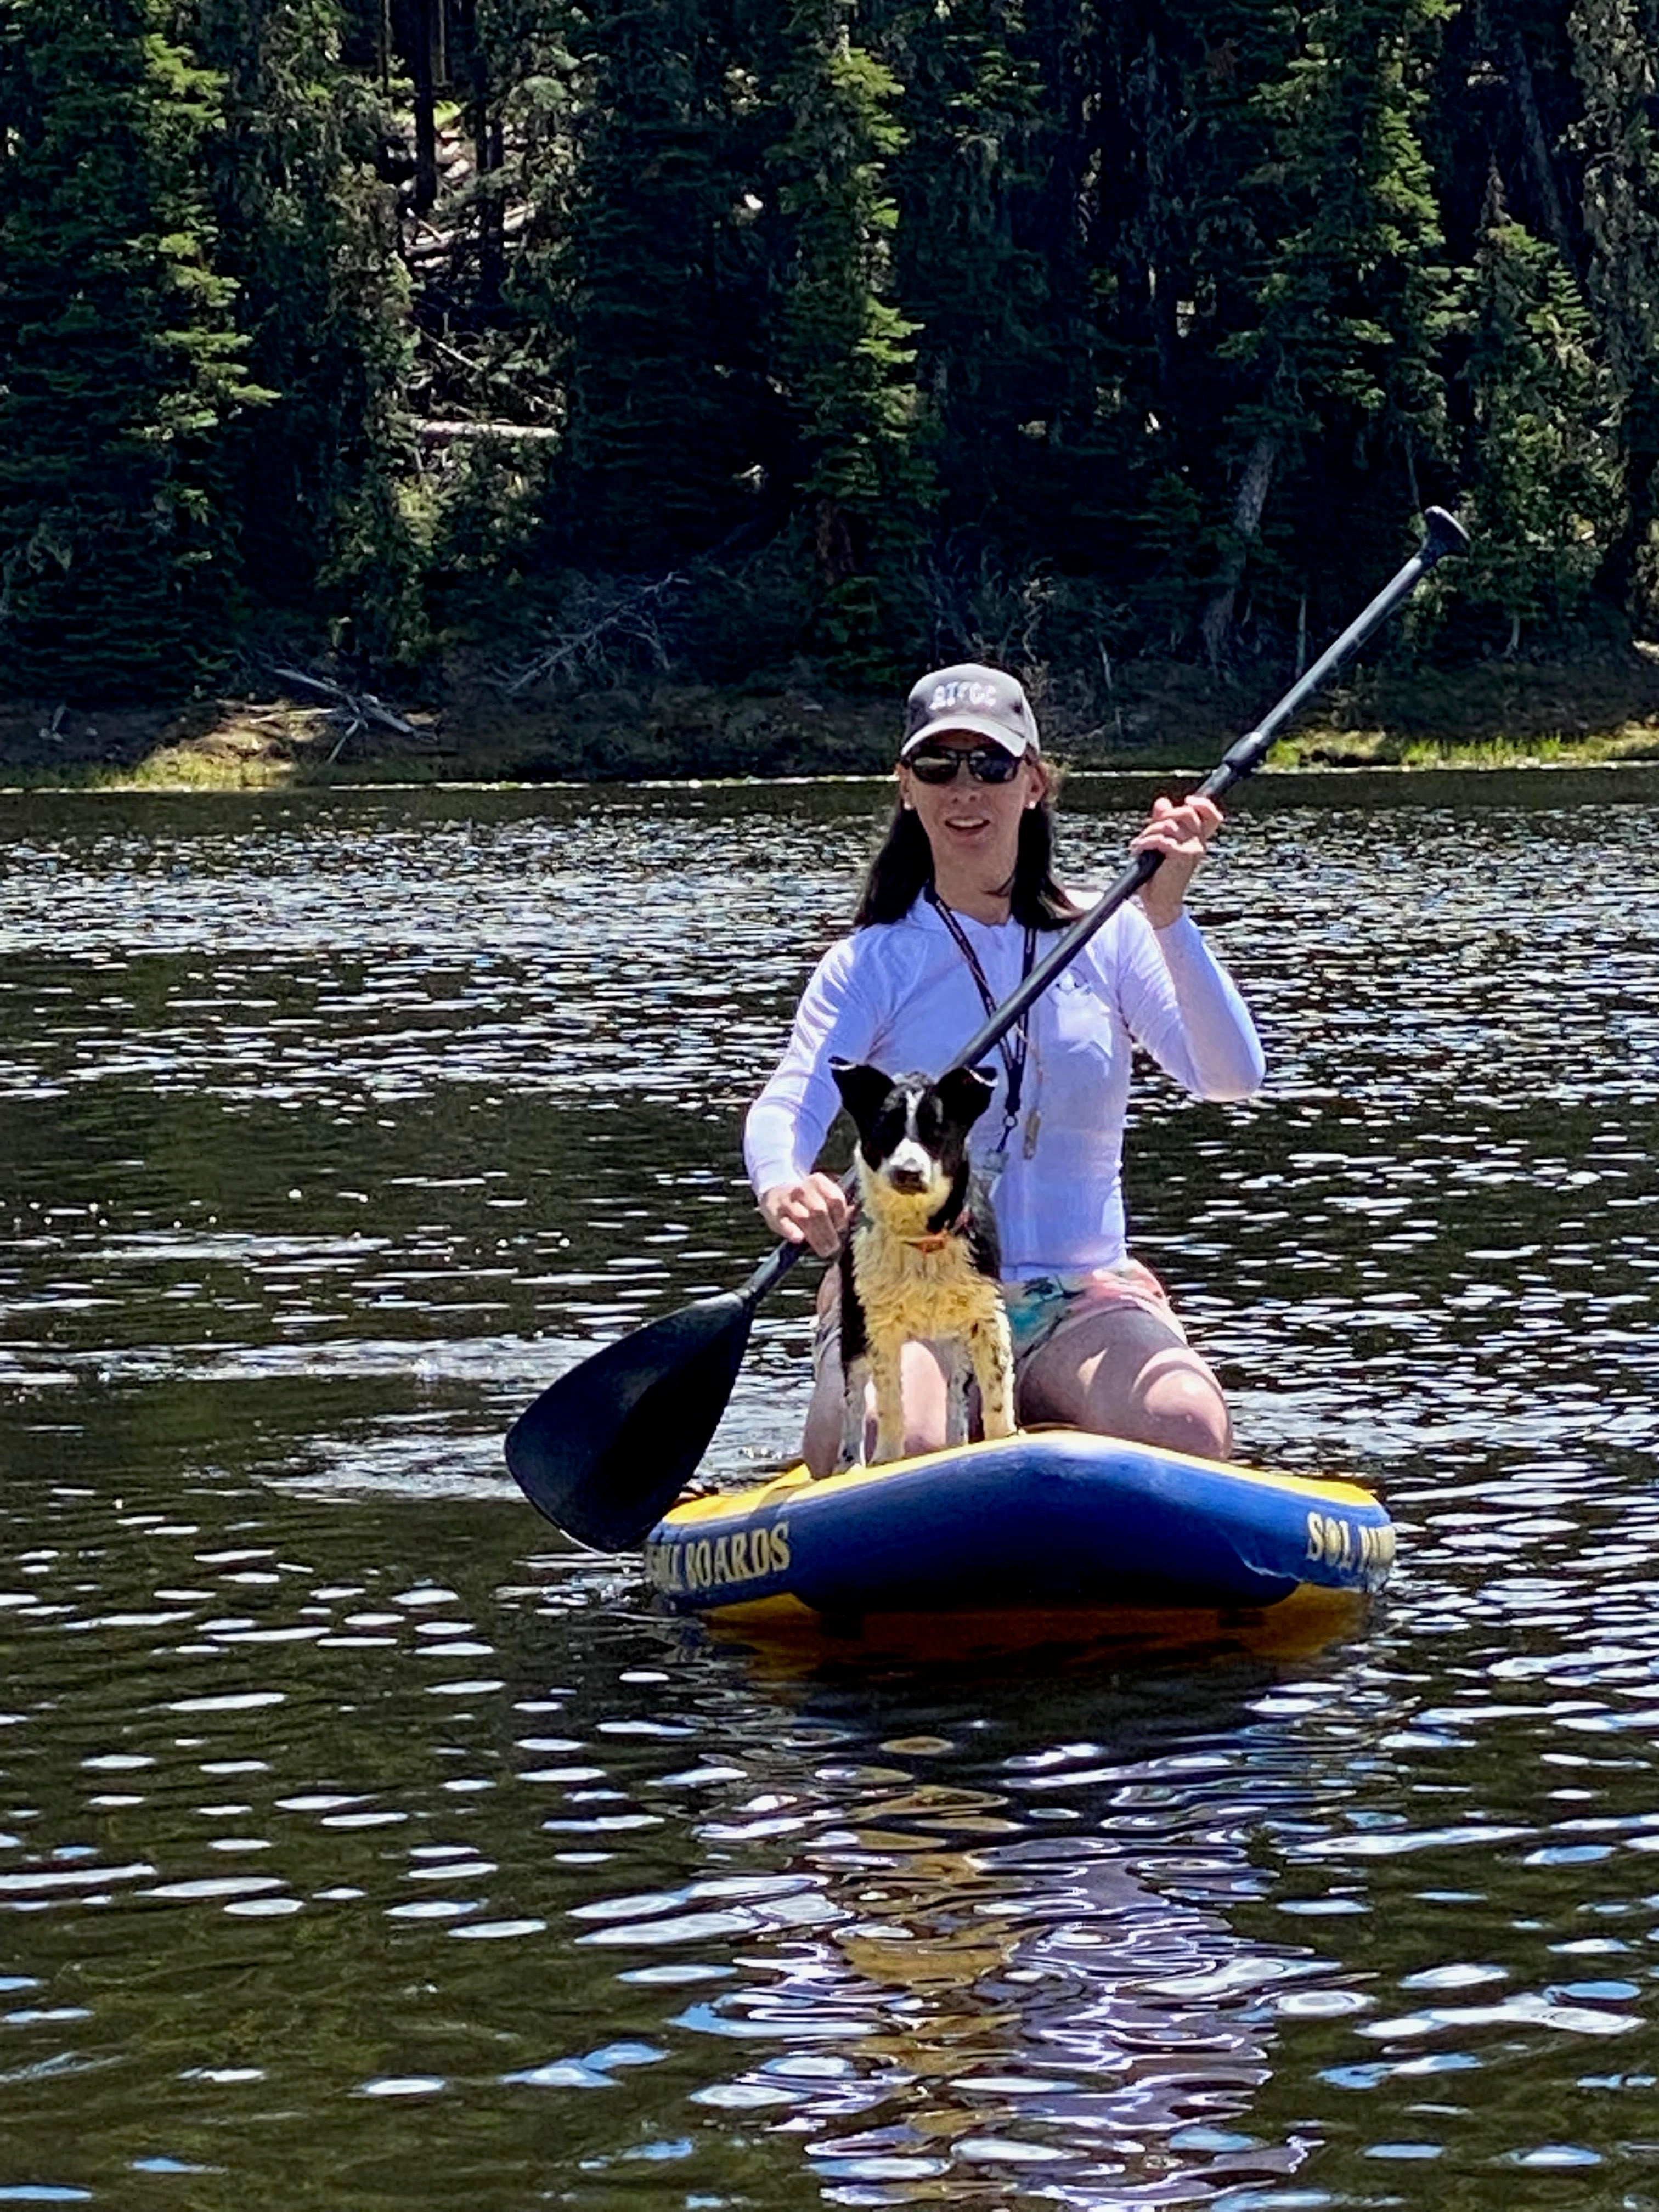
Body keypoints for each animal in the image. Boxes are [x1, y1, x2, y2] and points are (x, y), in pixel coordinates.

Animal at [827, 1057, 1022, 1469]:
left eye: (938, 1133)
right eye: (885, 1130)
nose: (908, 1172)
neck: (921, 1242)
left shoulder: (986, 1317)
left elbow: (996, 1391)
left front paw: (1004, 1438)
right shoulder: (878, 1326)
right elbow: (889, 1403)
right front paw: (885, 1459)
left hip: (955, 1342)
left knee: (956, 1396)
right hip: (853, 1326)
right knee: (855, 1399)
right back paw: (850, 1462)